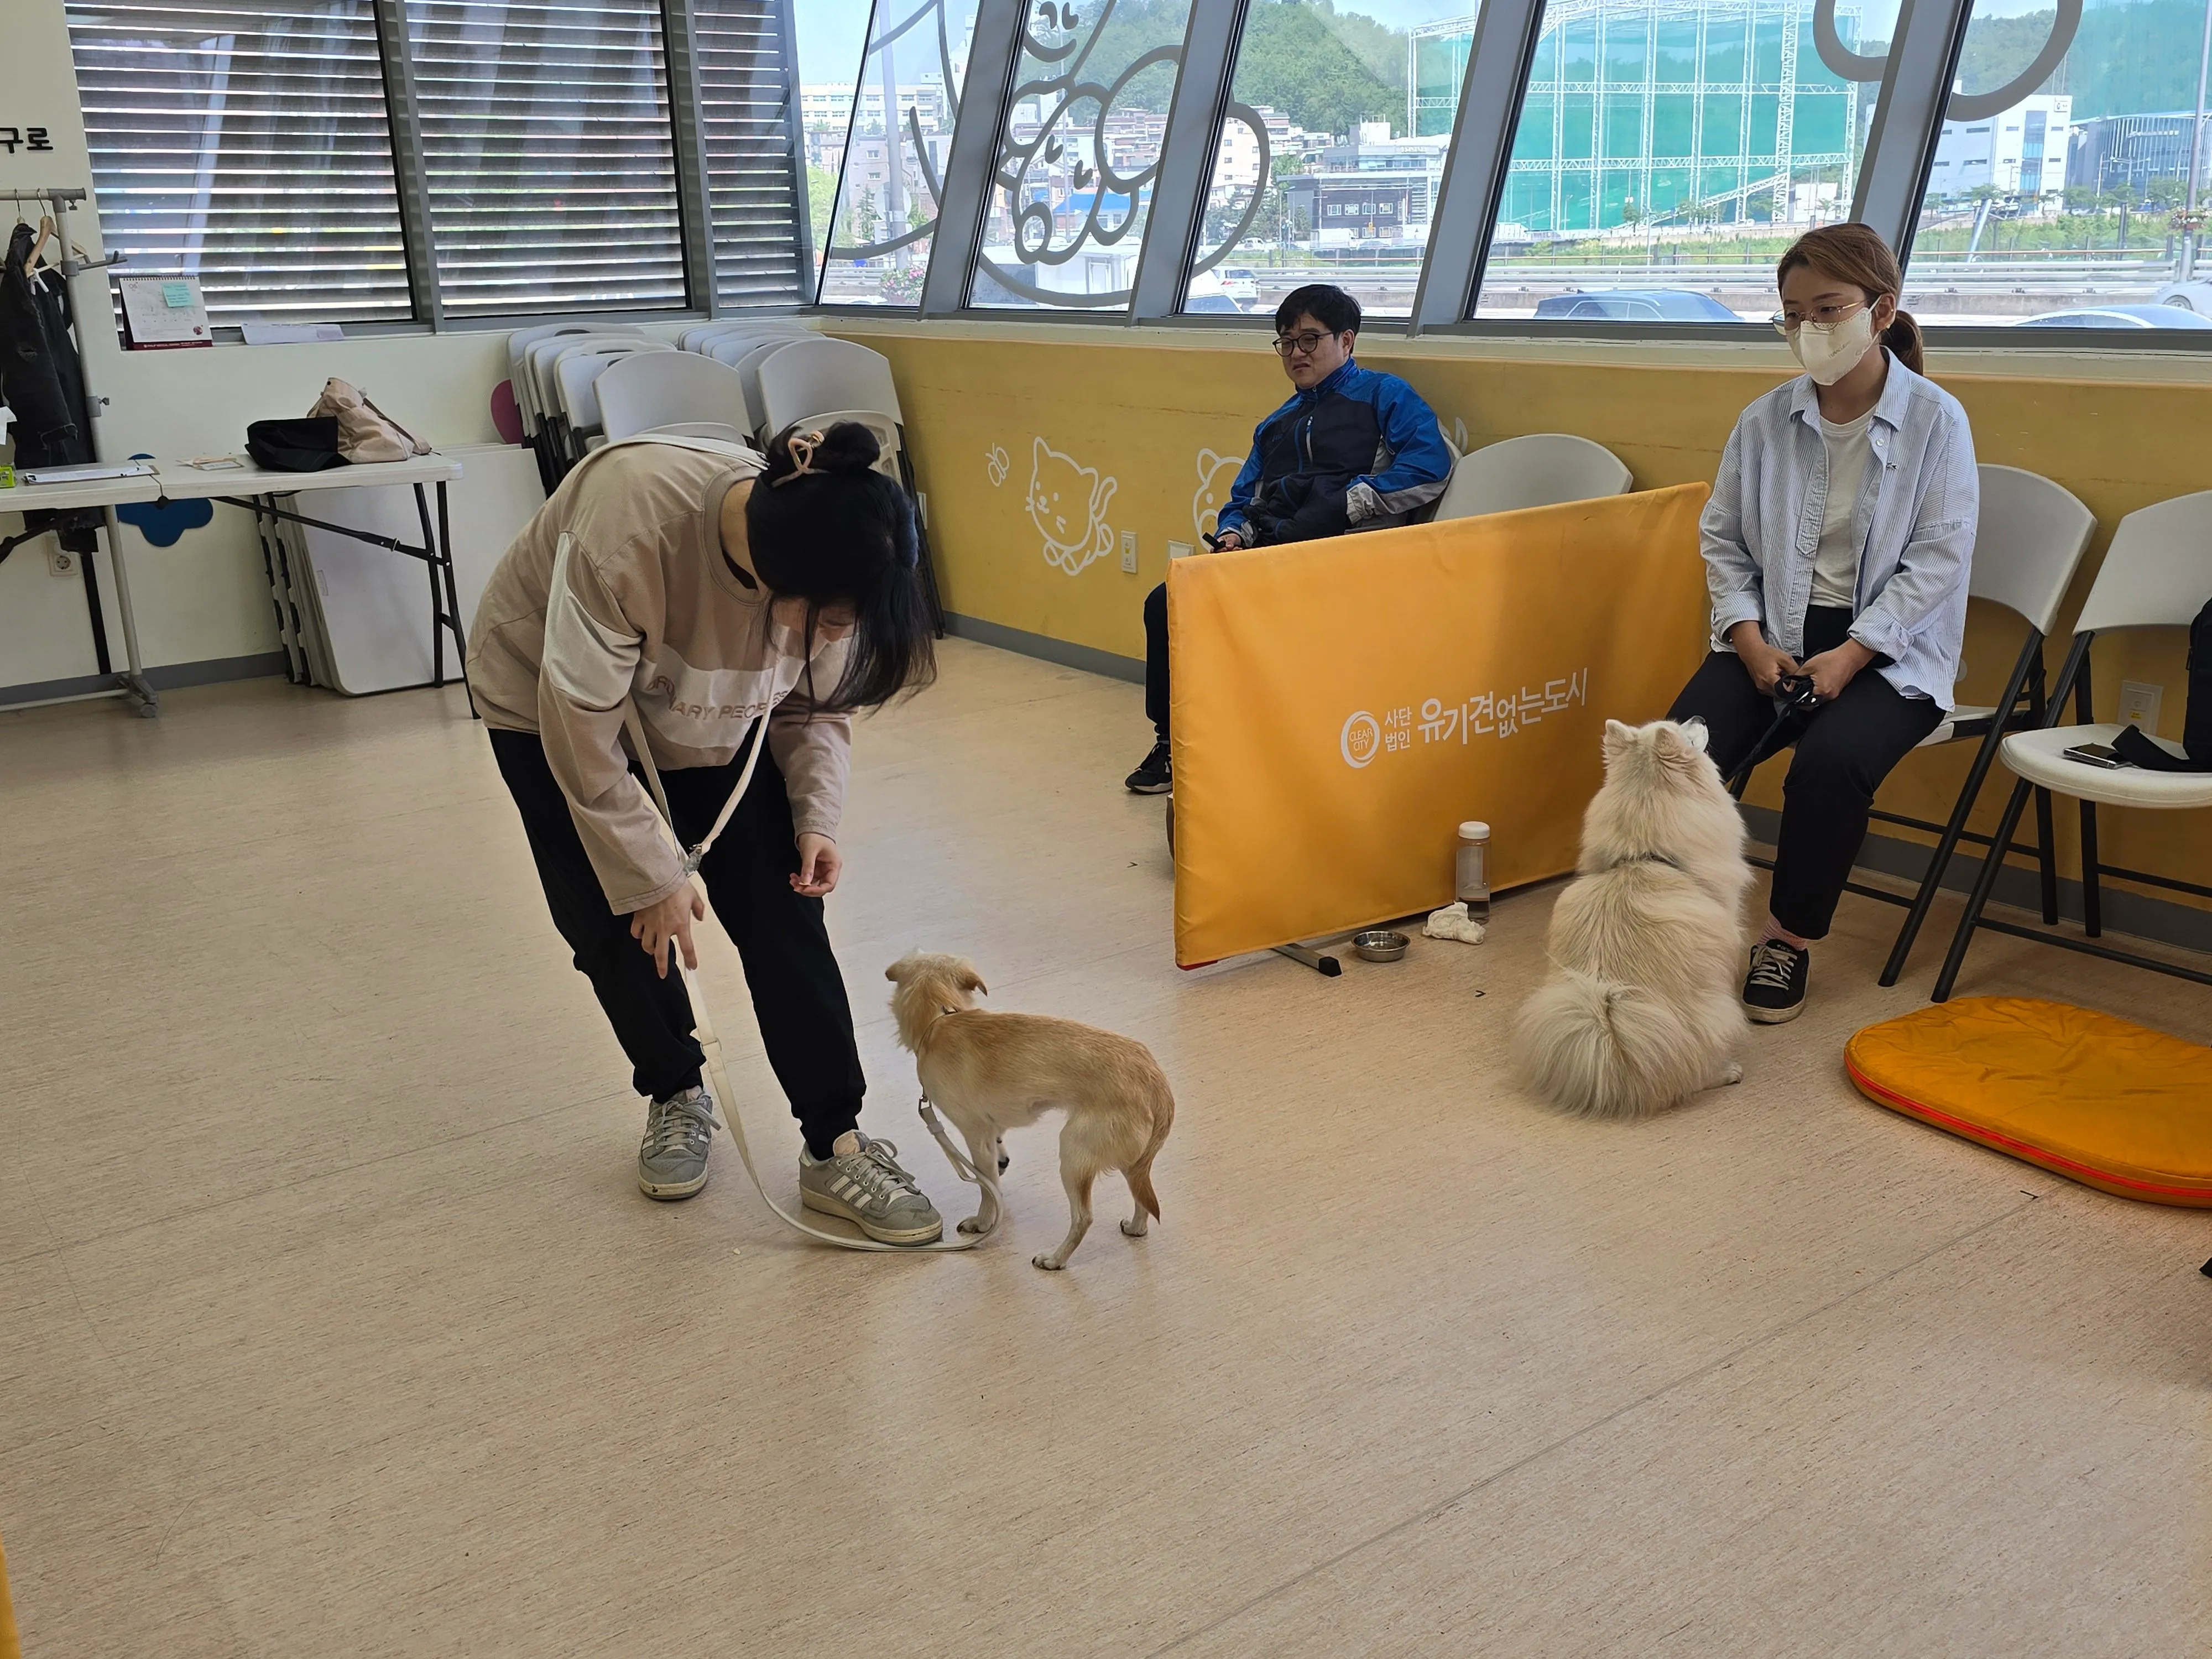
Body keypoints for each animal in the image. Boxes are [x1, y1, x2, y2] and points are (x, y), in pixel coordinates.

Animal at [889, 956, 1186, 1265]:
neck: (941, 1018)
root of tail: (1156, 1084)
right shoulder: (992, 1130)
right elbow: (996, 1164)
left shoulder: (975, 1135)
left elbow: (986, 1187)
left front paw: (983, 1223)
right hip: (1131, 1163)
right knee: (1141, 1196)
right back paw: (1136, 1228)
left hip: (1073, 1154)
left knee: (1084, 1218)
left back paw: (1055, 1260)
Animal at [1513, 717, 1752, 1119]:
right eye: (1687, 734)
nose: (1701, 719)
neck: (1642, 856)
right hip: (1722, 1015)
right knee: (1696, 1076)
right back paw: (1728, 1070)